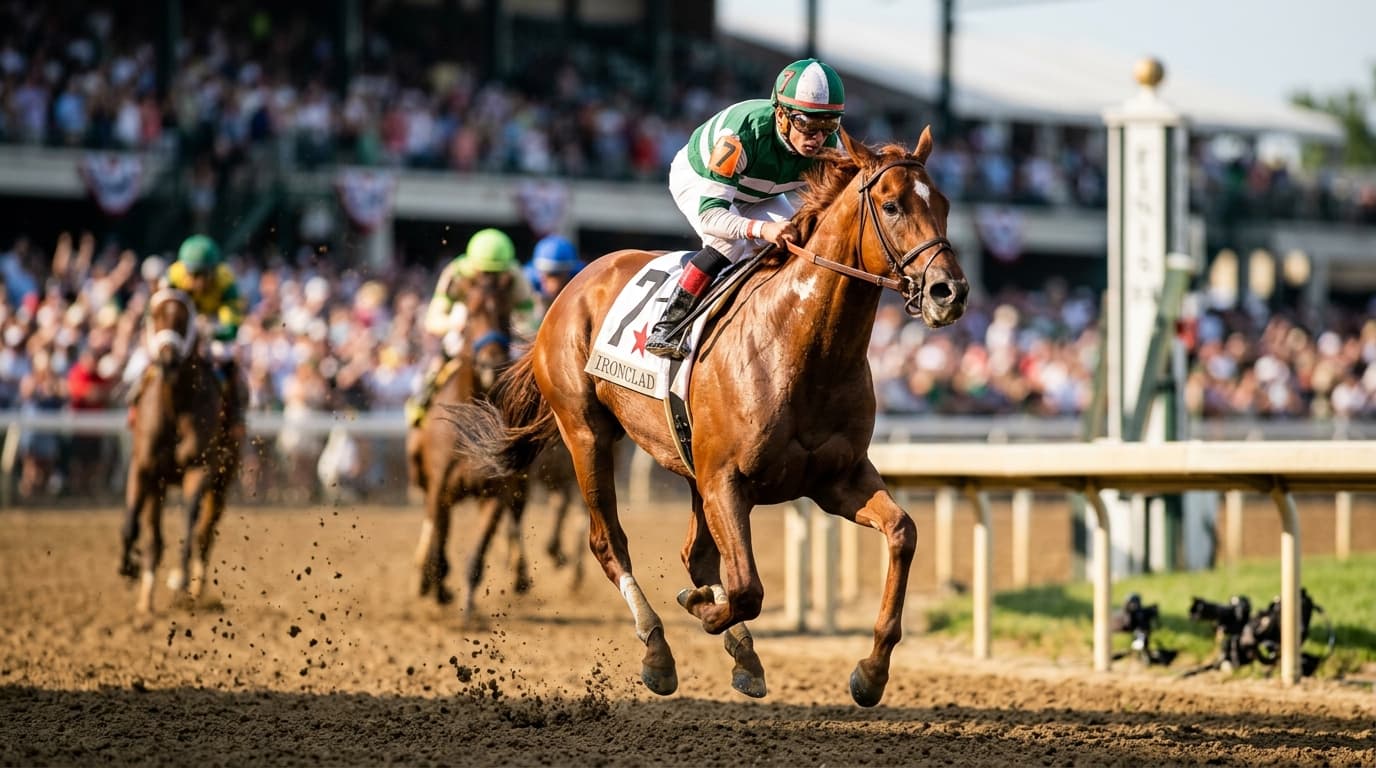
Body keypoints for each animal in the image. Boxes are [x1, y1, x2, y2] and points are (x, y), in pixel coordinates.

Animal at [118, 289, 243, 613]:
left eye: (185, 318)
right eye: (154, 315)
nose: (168, 360)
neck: (175, 404)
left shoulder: (198, 468)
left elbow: (189, 523)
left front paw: (179, 579)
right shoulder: (144, 468)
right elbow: (131, 525)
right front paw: (129, 568)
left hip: (222, 482)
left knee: (204, 534)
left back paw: (195, 591)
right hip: (160, 484)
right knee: (157, 538)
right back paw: (147, 598)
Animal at [406, 268, 532, 617]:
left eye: (505, 313)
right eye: (472, 313)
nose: (491, 364)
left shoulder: (497, 491)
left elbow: (478, 552)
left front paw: (468, 608)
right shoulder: (440, 486)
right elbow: (438, 541)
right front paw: (436, 587)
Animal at [448, 128, 969, 706]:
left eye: (943, 204)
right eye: (892, 205)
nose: (950, 292)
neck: (802, 345)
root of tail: (576, 282)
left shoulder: (836, 478)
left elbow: (902, 532)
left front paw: (871, 671)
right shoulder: (726, 480)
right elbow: (746, 588)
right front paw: (700, 608)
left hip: (687, 459)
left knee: (695, 554)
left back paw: (741, 652)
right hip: (586, 433)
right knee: (609, 542)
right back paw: (658, 650)